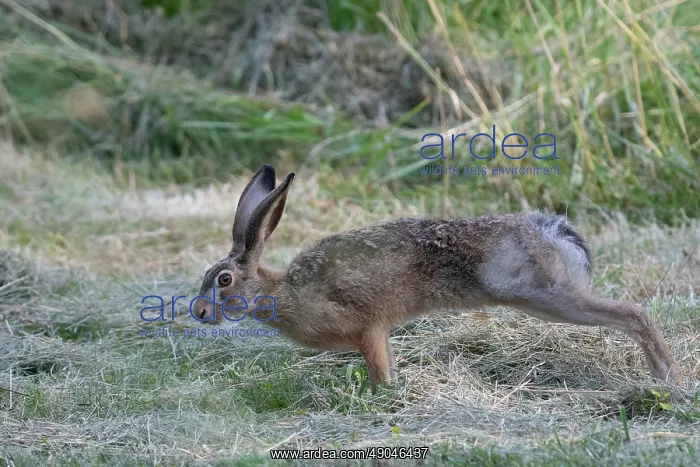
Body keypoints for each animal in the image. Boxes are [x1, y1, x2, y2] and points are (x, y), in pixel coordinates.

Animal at [193, 164, 682, 394]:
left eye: (223, 280)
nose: (197, 312)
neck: (280, 289)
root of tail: (547, 230)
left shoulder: (367, 327)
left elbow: (378, 367)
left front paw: (381, 398)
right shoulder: (380, 331)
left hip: (546, 295)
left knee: (633, 313)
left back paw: (668, 377)